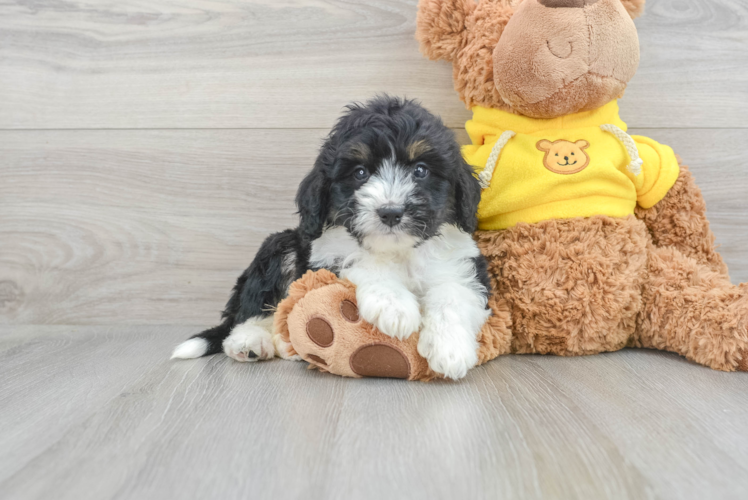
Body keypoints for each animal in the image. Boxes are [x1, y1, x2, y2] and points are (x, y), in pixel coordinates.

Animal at [173, 96, 494, 378]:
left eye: (420, 170)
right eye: (360, 173)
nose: (391, 212)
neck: (398, 250)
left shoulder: (462, 265)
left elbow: (453, 293)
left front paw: (450, 350)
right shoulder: (326, 252)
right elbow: (362, 261)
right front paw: (395, 306)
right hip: (279, 247)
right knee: (251, 310)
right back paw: (250, 342)